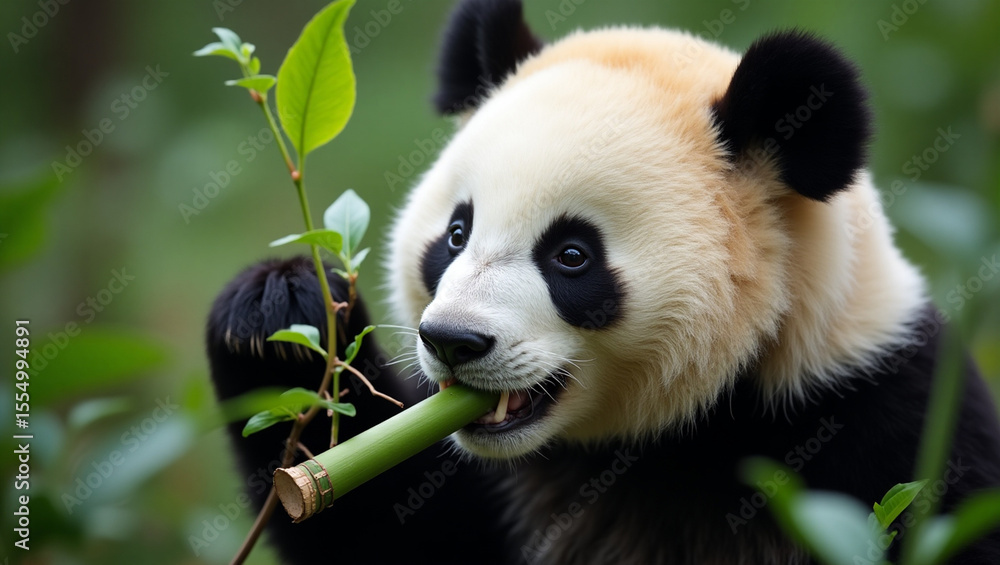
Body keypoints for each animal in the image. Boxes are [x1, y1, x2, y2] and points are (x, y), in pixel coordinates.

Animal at [206, 0, 1000, 563]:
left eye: (571, 255)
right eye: (456, 233)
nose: (453, 340)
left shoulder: (881, 421)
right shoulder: (506, 490)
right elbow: (392, 530)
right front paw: (275, 312)